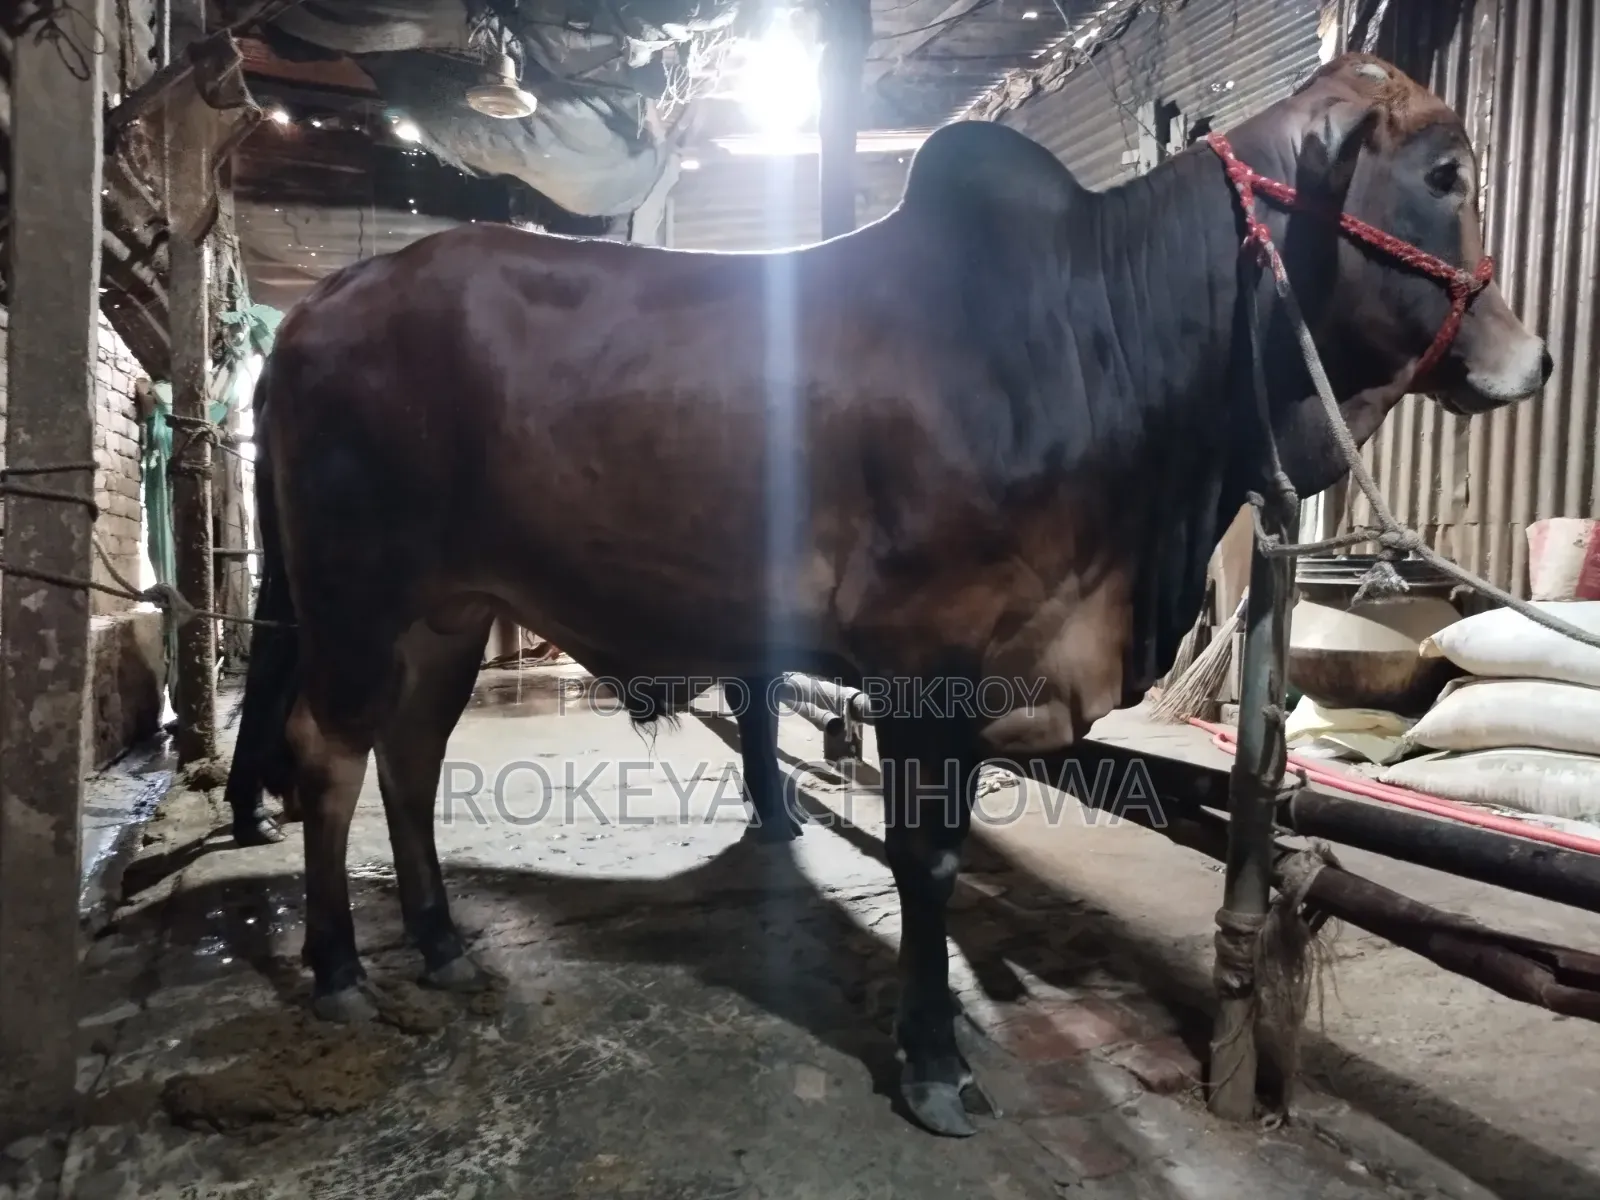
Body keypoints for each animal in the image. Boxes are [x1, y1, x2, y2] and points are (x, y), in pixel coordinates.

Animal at [222, 53, 1549, 1137]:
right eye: (1442, 171)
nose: (1531, 359)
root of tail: (311, 316)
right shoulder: (927, 666)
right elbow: (931, 862)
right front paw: (932, 1064)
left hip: (442, 616)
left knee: (407, 759)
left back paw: (442, 941)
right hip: (355, 599)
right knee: (328, 758)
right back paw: (339, 969)